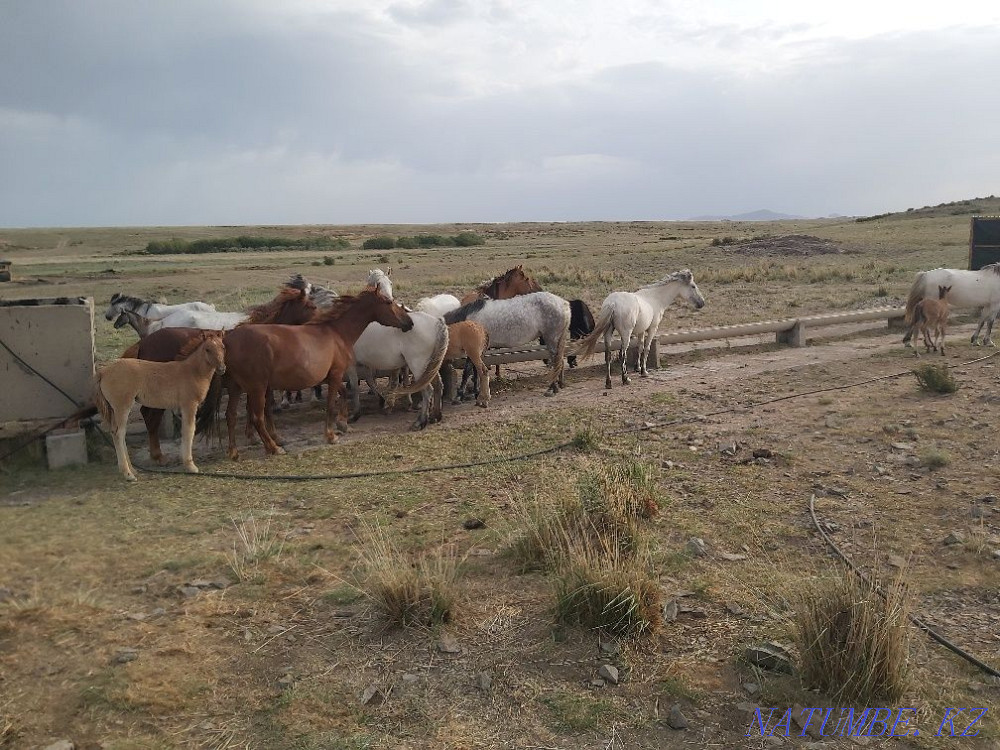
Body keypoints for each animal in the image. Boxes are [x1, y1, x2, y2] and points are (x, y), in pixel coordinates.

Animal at [94, 335, 226, 481]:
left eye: (223, 347)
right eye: (207, 349)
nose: (222, 368)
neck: (192, 371)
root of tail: (103, 371)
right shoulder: (189, 405)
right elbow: (189, 430)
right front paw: (190, 466)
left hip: (114, 409)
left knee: (116, 433)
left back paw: (133, 470)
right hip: (122, 406)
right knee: (119, 433)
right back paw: (128, 474)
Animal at [203, 289, 413, 460]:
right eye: (388, 302)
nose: (409, 322)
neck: (337, 332)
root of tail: (228, 339)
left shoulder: (331, 376)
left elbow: (344, 394)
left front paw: (343, 424)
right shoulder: (336, 374)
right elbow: (331, 403)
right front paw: (331, 435)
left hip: (236, 387)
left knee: (230, 415)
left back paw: (234, 452)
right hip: (257, 388)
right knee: (257, 417)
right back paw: (273, 448)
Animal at [575, 269, 706, 389]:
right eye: (693, 286)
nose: (702, 303)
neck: (656, 298)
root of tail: (612, 303)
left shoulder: (641, 331)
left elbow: (640, 347)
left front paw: (637, 368)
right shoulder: (652, 329)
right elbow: (646, 348)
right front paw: (644, 371)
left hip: (608, 333)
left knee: (607, 355)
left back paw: (608, 383)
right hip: (626, 334)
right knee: (622, 354)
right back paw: (625, 379)